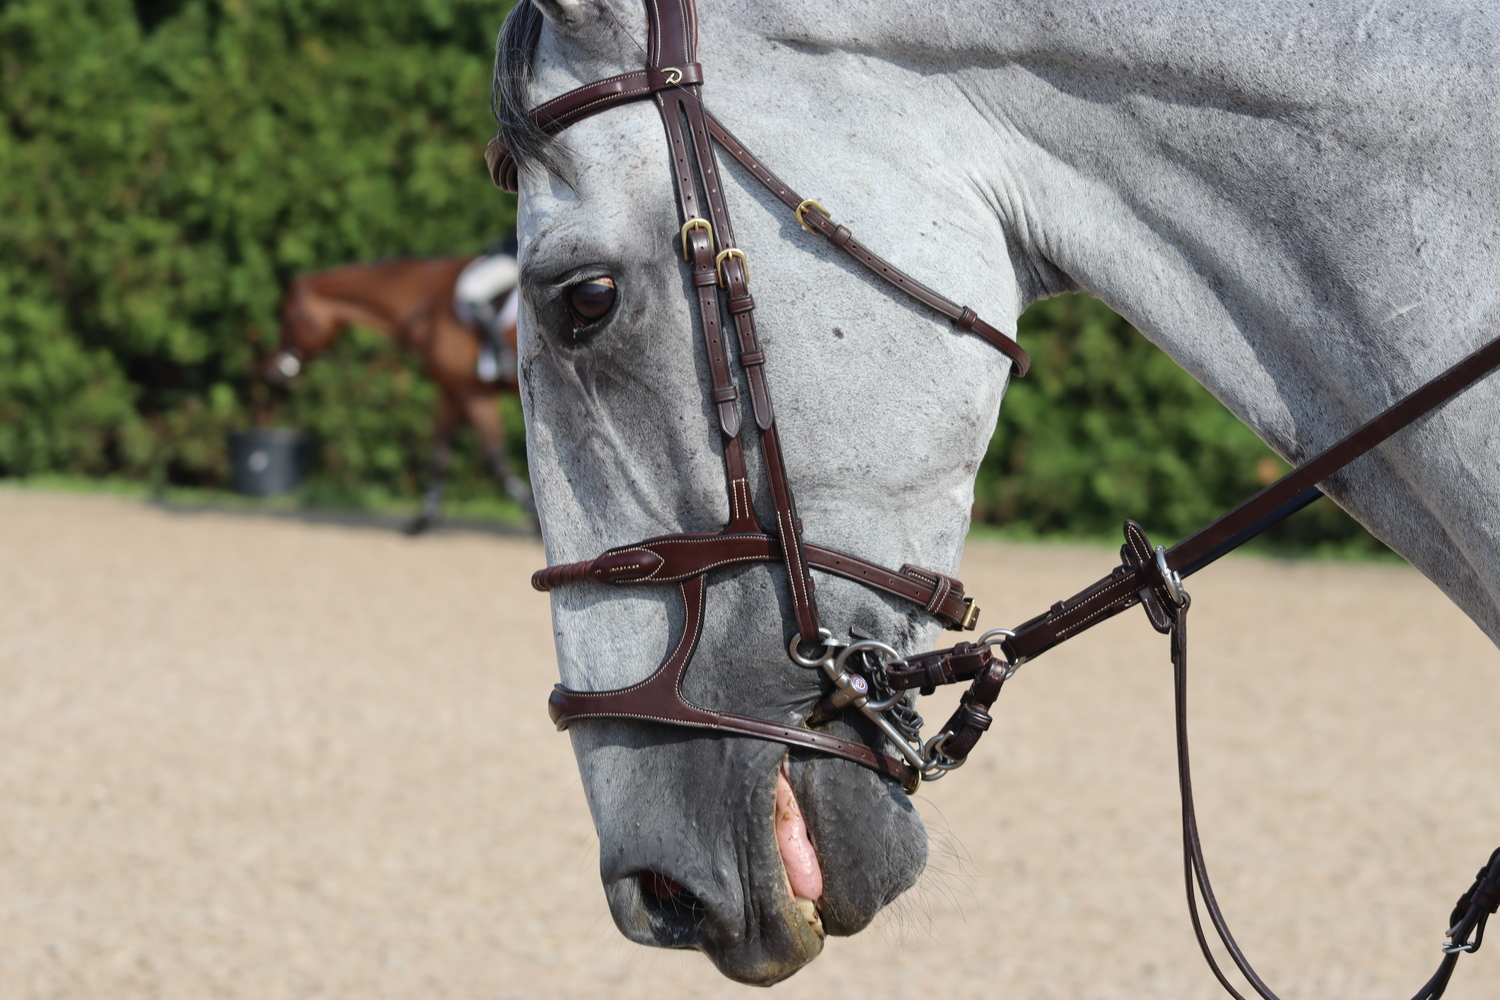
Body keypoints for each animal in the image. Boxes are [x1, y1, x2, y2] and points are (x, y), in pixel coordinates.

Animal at [265, 257, 534, 536]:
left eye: (287, 317)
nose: (271, 376)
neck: (430, 304)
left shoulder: (473, 393)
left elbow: (495, 460)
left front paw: (535, 518)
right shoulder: (451, 392)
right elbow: (439, 457)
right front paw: (423, 520)